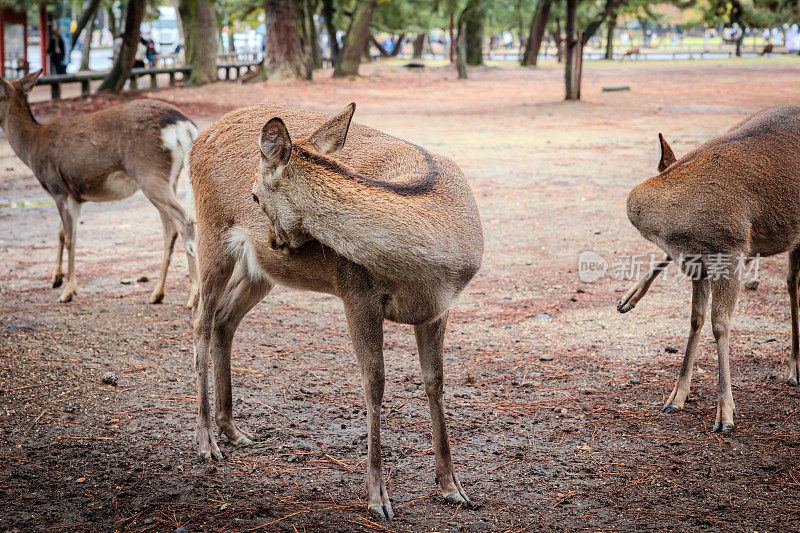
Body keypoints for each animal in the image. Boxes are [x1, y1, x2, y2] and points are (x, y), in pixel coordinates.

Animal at [0, 70, 198, 306]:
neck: (32, 146)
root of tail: (185, 127)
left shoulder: (58, 188)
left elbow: (70, 238)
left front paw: (68, 291)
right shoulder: (74, 195)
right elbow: (60, 232)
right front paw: (56, 278)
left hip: (149, 171)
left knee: (184, 220)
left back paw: (194, 296)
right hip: (170, 178)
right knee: (170, 230)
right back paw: (157, 293)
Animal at [191, 102, 484, 516]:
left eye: (255, 196)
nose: (272, 240)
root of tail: (197, 141)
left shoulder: (439, 309)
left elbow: (435, 381)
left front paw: (452, 487)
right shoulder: (356, 293)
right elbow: (374, 382)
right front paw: (378, 497)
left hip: (259, 271)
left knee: (223, 320)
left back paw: (232, 429)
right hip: (211, 229)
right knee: (201, 322)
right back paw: (206, 443)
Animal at [620, 107, 800, 432]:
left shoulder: (731, 250)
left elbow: (720, 323)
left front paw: (725, 414)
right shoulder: (697, 263)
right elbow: (696, 319)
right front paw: (676, 397)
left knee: (793, 283)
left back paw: (794, 367)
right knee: (791, 280)